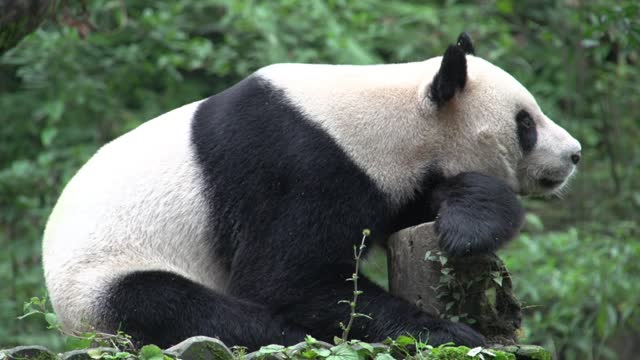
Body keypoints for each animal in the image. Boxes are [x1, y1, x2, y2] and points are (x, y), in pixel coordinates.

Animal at [40, 33, 580, 348]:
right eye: (525, 123)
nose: (573, 154)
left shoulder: (388, 181)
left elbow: (428, 205)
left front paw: (468, 225)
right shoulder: (297, 165)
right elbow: (288, 280)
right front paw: (450, 331)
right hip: (101, 279)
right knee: (176, 308)